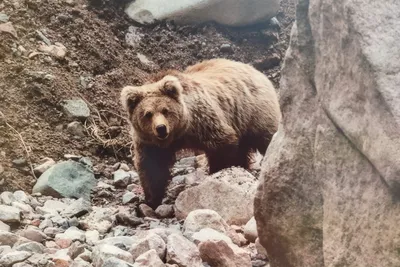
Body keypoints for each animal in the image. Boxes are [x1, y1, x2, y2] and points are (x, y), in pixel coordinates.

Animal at [120, 58, 280, 209]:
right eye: (148, 114)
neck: (178, 134)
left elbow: (223, 146)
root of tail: (254, 70)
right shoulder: (150, 143)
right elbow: (151, 166)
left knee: (267, 136)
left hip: (253, 110)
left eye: (165, 110)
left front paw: (219, 173)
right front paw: (149, 201)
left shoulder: (203, 122)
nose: (161, 128)